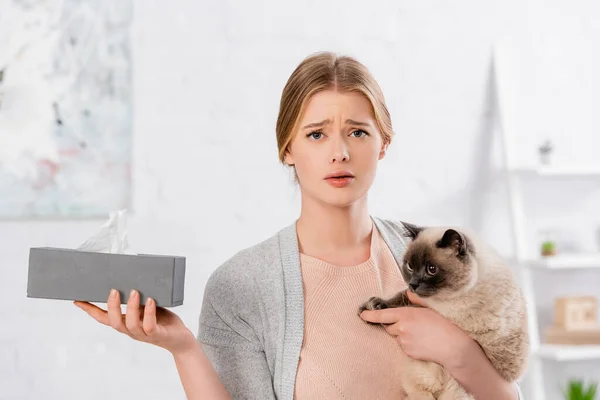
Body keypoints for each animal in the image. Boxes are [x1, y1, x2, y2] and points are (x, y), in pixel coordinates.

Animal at [358, 223, 528, 398]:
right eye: (410, 266)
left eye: (431, 269)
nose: (413, 284)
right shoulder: (417, 298)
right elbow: (399, 297)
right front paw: (371, 306)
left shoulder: (438, 311)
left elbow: (400, 309)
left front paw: (373, 312)